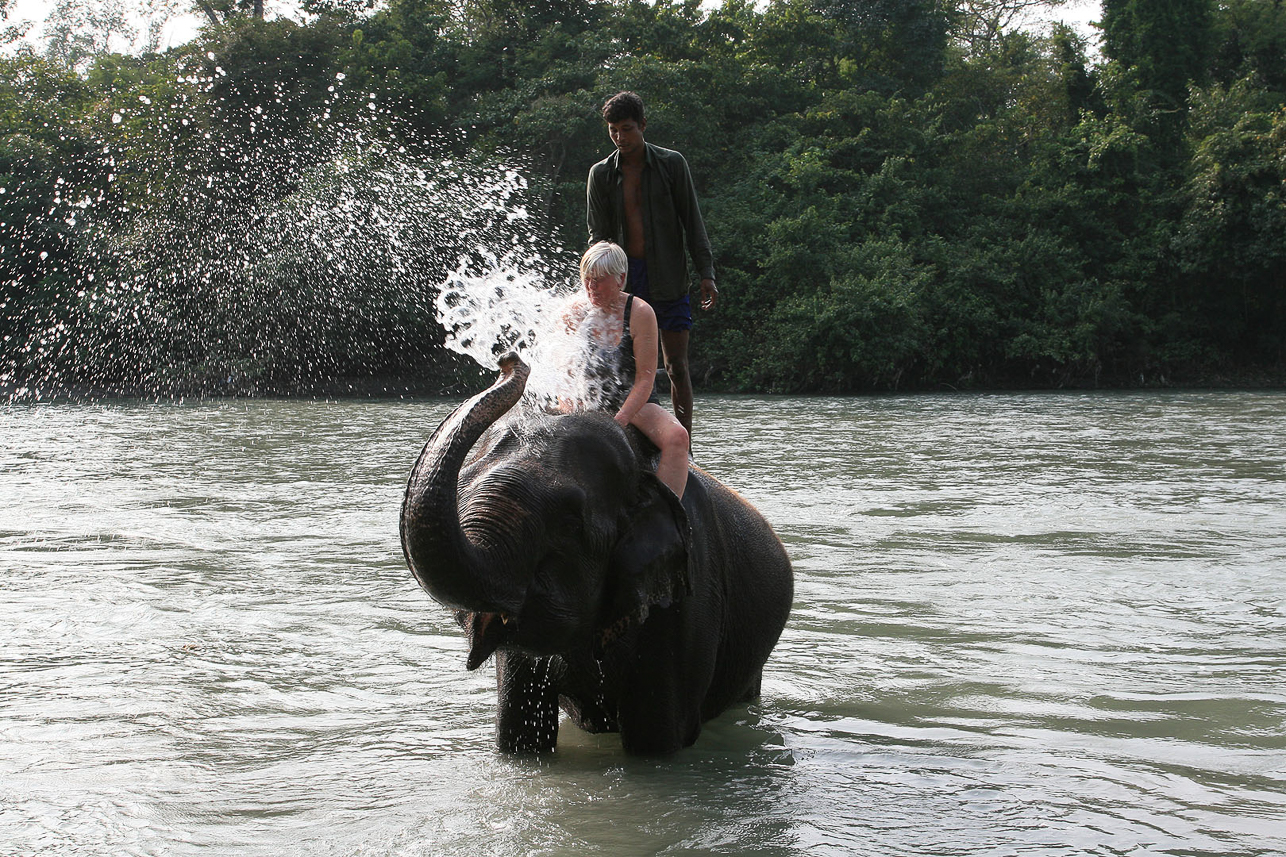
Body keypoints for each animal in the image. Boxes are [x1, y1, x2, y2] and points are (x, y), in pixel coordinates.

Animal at [398, 350, 792, 751]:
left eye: (570, 523)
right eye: (462, 492)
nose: (510, 361)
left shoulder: (686, 602)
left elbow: (656, 736)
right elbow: (520, 734)